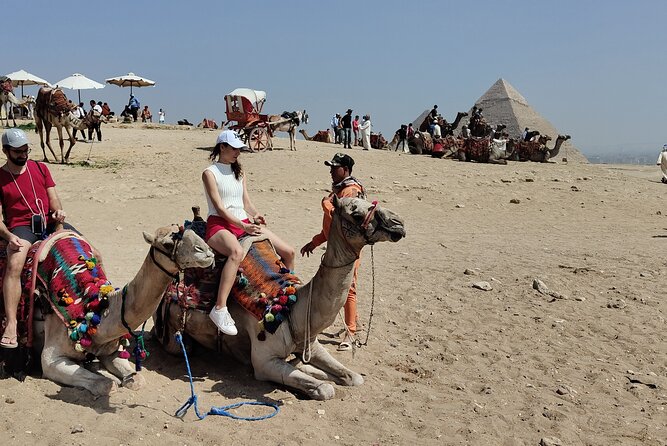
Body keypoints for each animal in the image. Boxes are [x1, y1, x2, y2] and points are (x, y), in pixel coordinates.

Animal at [0, 225, 214, 395]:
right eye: (168, 243)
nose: (207, 252)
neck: (91, 311)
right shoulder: (51, 358)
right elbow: (105, 384)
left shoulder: (111, 348)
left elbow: (137, 380)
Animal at [154, 197, 406, 400]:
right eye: (355, 212)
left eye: (367, 200)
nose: (398, 223)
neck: (289, 307)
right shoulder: (263, 362)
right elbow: (324, 388)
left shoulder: (310, 344)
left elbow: (353, 377)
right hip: (173, 335)